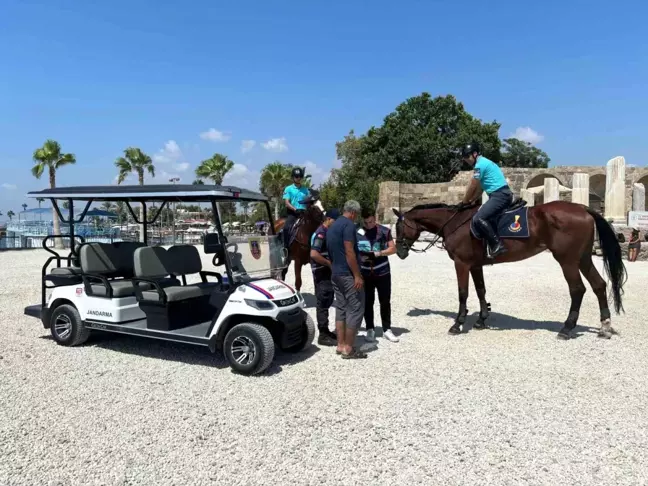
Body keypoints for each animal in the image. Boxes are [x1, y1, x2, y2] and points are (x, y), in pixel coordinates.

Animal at [392, 199, 624, 340]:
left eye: (398, 227)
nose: (400, 252)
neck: (455, 222)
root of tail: (582, 208)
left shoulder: (462, 264)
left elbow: (463, 293)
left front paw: (458, 324)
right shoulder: (475, 265)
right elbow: (481, 290)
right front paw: (481, 319)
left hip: (567, 260)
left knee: (577, 290)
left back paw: (567, 328)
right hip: (583, 259)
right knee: (599, 285)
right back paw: (604, 326)